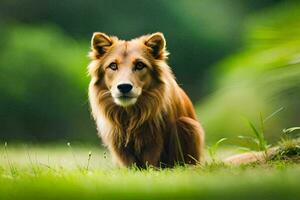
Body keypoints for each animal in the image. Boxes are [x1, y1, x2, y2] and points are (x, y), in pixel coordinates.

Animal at [86, 32, 204, 167]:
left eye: (140, 65)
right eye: (113, 66)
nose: (124, 87)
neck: (130, 114)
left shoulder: (154, 140)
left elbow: (151, 163)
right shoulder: (118, 140)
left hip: (187, 124)